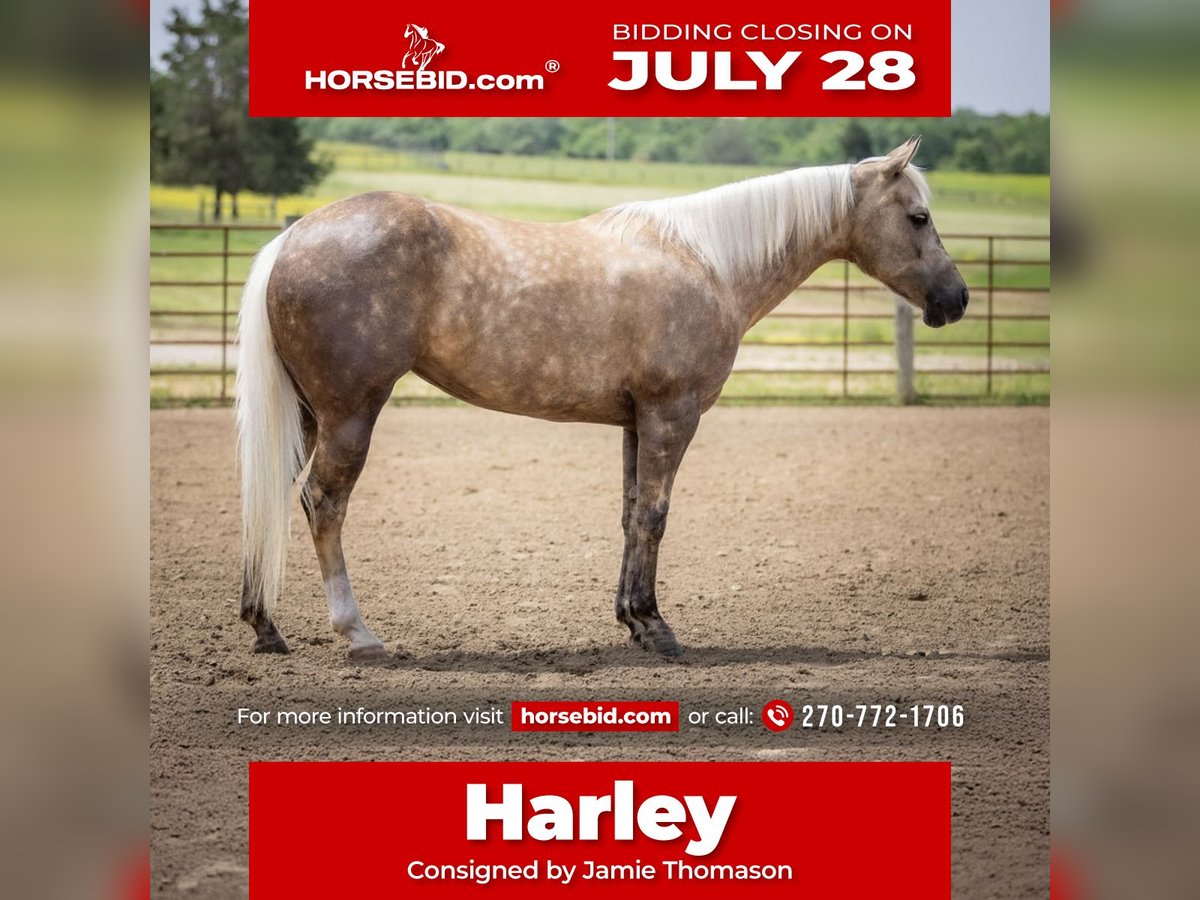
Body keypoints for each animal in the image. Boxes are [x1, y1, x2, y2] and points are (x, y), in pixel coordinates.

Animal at [235, 137, 969, 660]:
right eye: (919, 216)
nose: (957, 299)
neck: (708, 263)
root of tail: (292, 238)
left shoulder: (636, 421)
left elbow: (628, 515)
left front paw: (632, 621)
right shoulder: (673, 415)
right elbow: (654, 517)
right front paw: (656, 627)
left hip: (308, 415)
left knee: (272, 495)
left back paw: (265, 627)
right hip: (350, 413)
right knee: (323, 503)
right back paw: (357, 634)